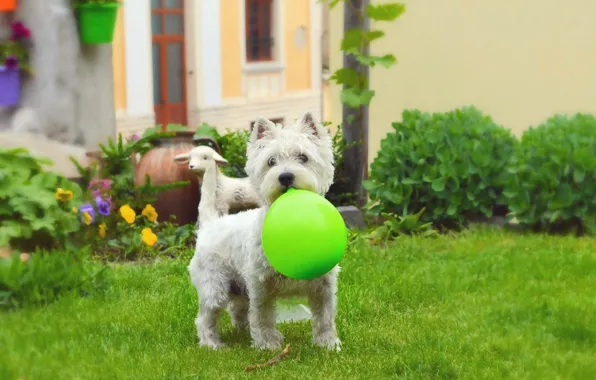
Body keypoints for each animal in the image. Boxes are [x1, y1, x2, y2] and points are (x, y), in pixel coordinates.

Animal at [189, 111, 342, 352]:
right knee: (207, 317)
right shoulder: (260, 283)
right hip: (215, 284)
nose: (285, 177)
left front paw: (328, 345)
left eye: (303, 157)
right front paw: (267, 344)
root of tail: (210, 224)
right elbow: (263, 315)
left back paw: (241, 332)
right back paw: (213, 345)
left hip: (237, 287)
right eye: (271, 161)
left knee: (238, 309)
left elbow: (325, 316)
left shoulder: (324, 284)